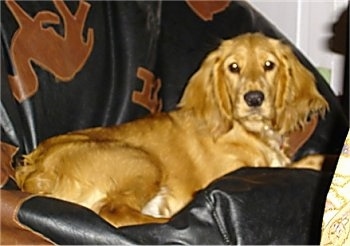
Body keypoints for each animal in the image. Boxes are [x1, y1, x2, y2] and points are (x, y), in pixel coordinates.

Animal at [15, 32, 330, 227]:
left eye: (269, 65)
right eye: (234, 67)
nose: (254, 99)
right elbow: (287, 167)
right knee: (115, 213)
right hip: (142, 161)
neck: (247, 130)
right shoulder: (235, 171)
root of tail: (36, 170)